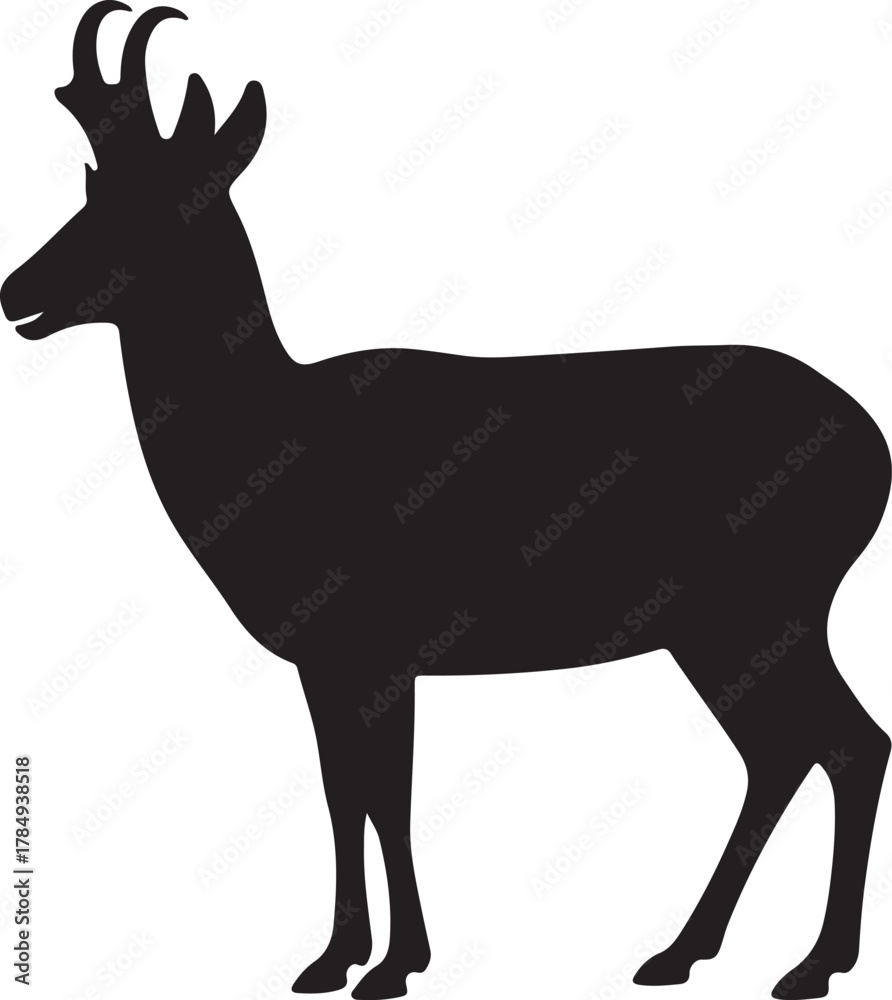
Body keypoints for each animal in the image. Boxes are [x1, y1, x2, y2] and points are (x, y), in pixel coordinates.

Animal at [3, 4, 890, 999]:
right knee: (790, 750)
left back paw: (807, 964)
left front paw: (392, 964)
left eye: (147, 208)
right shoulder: (329, 662)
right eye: (90, 189)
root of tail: (876, 449)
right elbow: (344, 793)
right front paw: (335, 959)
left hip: (762, 608)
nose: (15, 292)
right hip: (728, 629)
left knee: (844, 744)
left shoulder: (379, 647)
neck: (274, 440)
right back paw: (687, 952)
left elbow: (387, 797)